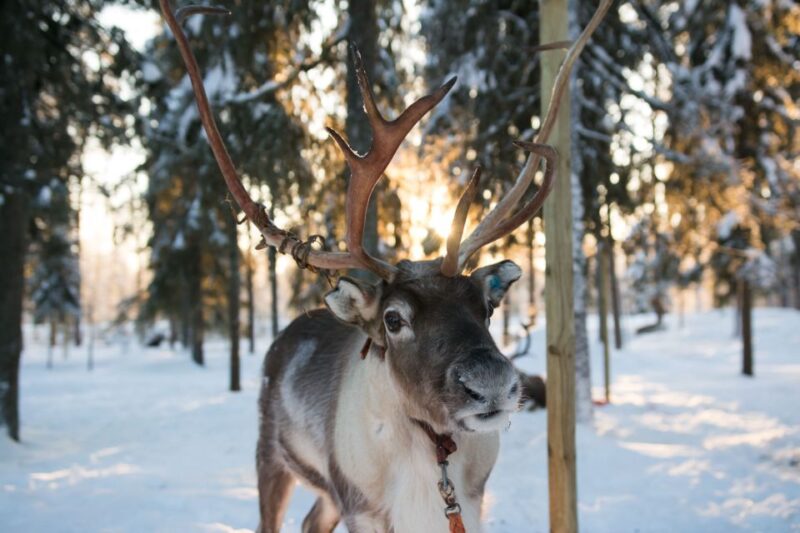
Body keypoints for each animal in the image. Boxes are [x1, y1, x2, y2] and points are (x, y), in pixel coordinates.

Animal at [158, 1, 611, 531]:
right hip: (273, 458)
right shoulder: (364, 508)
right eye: (394, 320)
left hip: (328, 494)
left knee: (312, 521)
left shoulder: (471, 503)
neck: (432, 452)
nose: (491, 385)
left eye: (486, 308)